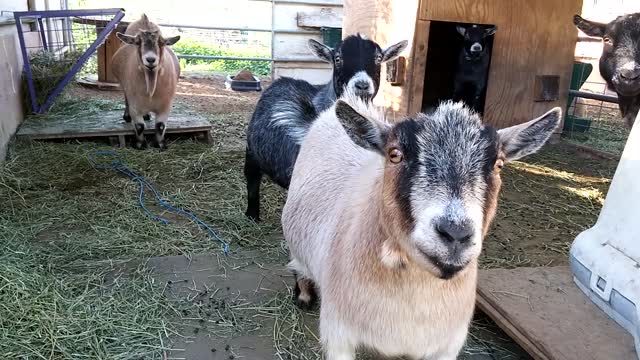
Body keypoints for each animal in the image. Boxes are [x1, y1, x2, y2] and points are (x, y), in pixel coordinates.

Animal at [111, 14, 181, 149]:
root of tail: (144, 19)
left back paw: (147, 115)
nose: (150, 59)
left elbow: (160, 126)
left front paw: (159, 144)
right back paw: (127, 117)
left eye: (162, 43)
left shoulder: (165, 105)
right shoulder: (135, 105)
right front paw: (140, 144)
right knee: (125, 98)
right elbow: (139, 126)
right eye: (138, 42)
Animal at [242, 34, 408, 219]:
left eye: (378, 58)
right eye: (338, 58)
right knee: (252, 177)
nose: (362, 85)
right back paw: (252, 214)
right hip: (251, 151)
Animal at [282, 93, 564, 360]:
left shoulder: (447, 344)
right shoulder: (337, 333)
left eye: (498, 164)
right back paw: (304, 295)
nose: (455, 234)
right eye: (395, 154)